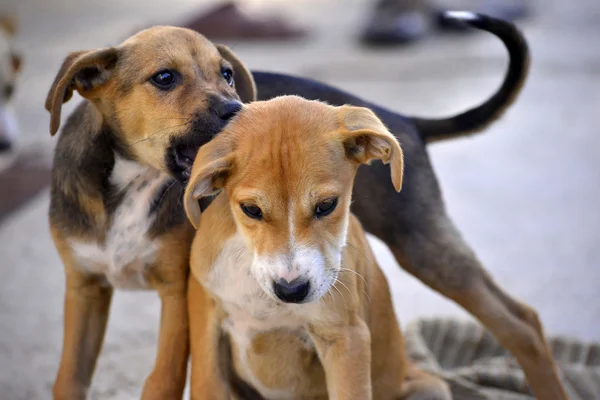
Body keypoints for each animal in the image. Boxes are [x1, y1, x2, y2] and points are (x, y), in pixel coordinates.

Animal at [45, 25, 255, 400]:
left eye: (227, 74)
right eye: (165, 77)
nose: (239, 110)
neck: (135, 181)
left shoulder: (177, 290)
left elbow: (163, 380)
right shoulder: (84, 286)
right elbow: (69, 378)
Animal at [185, 95, 452, 398]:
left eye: (326, 205)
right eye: (251, 209)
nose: (291, 290)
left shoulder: (345, 337)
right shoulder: (206, 326)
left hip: (429, 386)